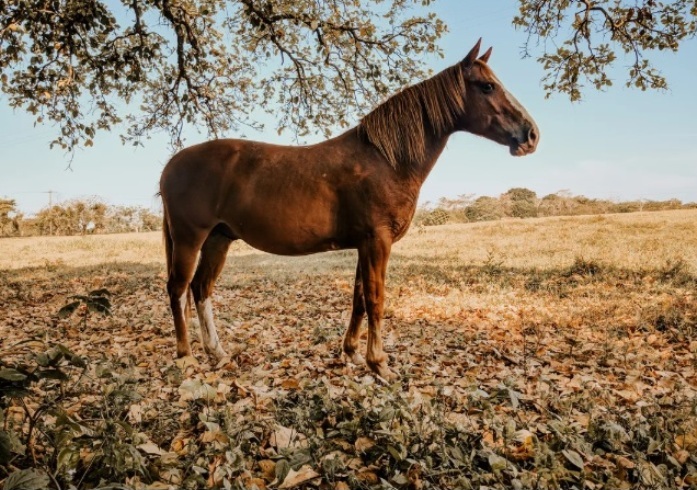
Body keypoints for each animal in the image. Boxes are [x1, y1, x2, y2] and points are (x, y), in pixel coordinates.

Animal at [160, 41, 540, 378]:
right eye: (487, 86)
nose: (531, 135)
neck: (386, 159)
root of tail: (171, 164)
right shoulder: (377, 241)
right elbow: (375, 299)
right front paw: (379, 363)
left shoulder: (364, 244)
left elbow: (358, 297)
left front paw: (352, 353)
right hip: (190, 238)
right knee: (178, 289)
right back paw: (186, 356)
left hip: (218, 239)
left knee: (200, 289)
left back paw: (216, 352)